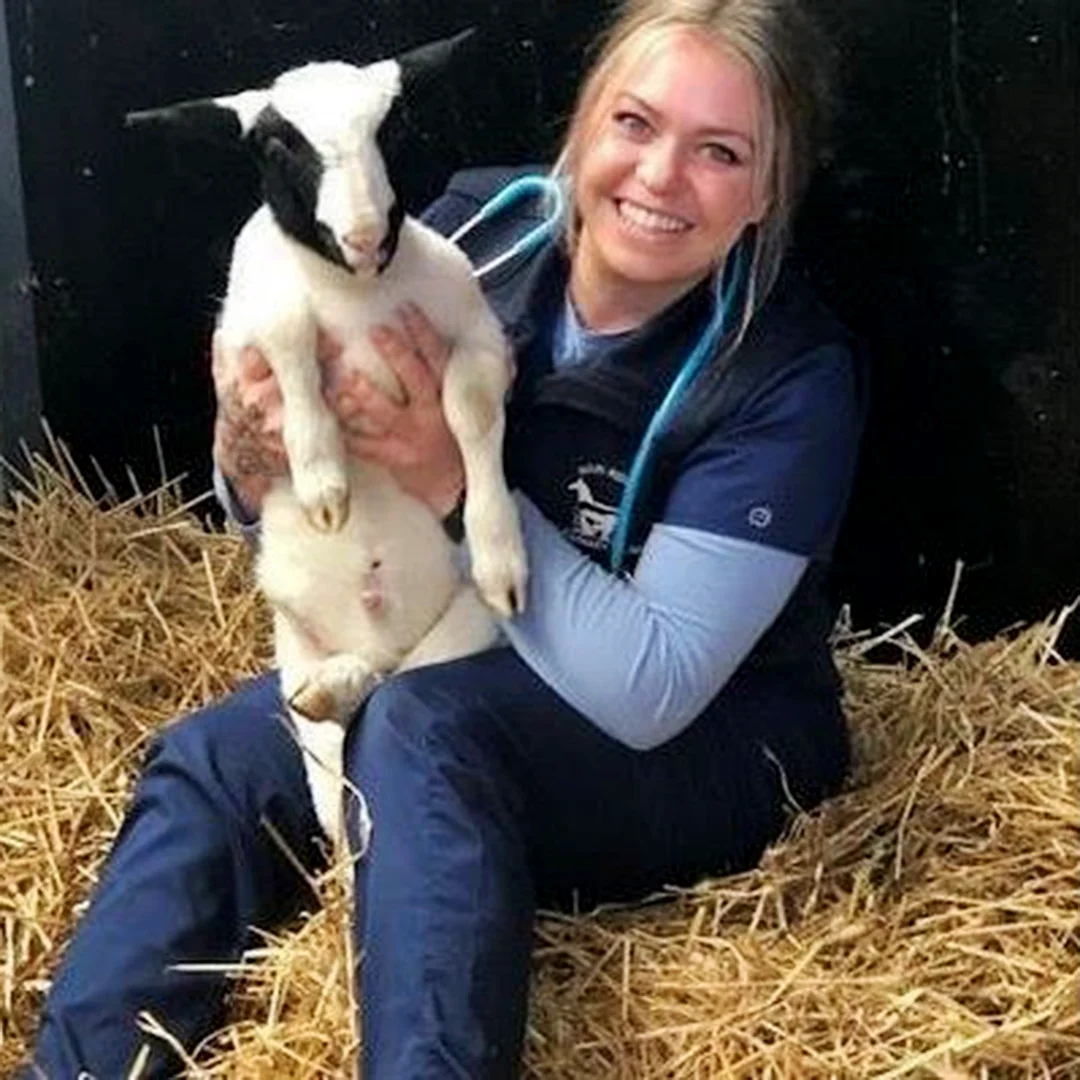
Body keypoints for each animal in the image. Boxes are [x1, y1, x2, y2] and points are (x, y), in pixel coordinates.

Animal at [126, 30, 528, 847]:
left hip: (465, 629)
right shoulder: (243, 325)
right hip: (290, 638)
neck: (353, 294)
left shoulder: (478, 336)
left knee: (394, 680)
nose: (367, 235)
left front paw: (499, 547)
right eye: (278, 144)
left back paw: (340, 688)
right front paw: (321, 483)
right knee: (335, 737)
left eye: (392, 129)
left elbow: (470, 409)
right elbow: (288, 328)